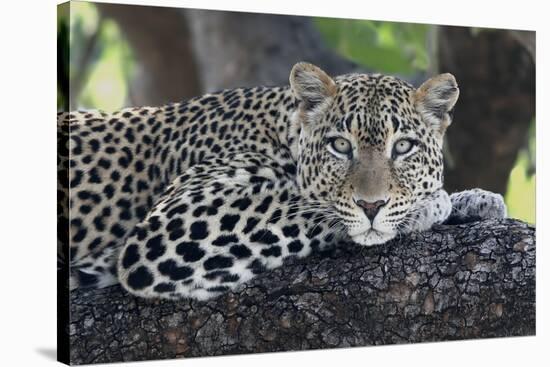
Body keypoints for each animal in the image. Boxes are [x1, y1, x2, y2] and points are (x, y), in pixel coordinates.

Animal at [58, 61, 506, 300]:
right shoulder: (172, 225)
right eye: (340, 146)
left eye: (404, 147)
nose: (372, 206)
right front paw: (429, 206)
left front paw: (474, 200)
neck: (281, 130)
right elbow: (307, 206)